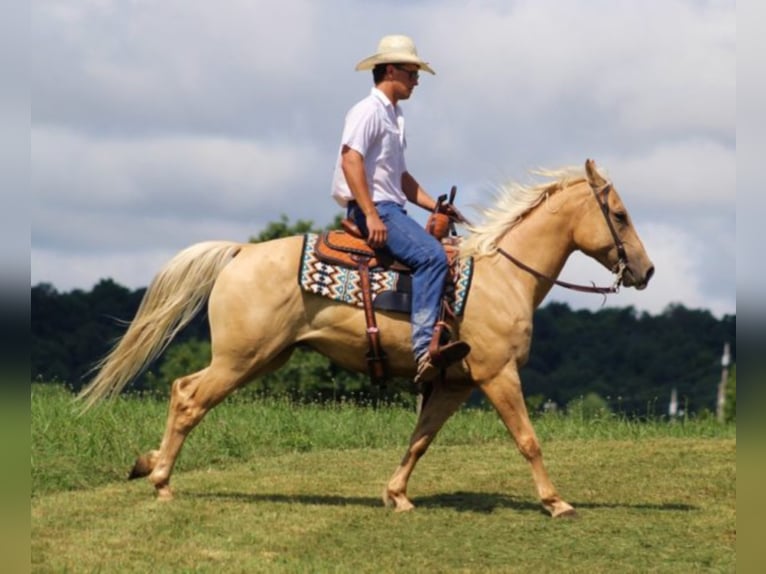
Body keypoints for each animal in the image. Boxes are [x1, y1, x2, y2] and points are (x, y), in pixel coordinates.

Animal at [78, 160, 656, 520]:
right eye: (620, 214)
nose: (647, 270)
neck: (503, 276)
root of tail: (241, 252)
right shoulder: (497, 374)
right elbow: (528, 439)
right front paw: (557, 502)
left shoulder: (454, 383)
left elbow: (420, 438)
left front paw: (396, 495)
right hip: (242, 359)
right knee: (189, 398)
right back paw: (161, 481)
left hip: (261, 358)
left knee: (184, 390)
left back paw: (148, 464)